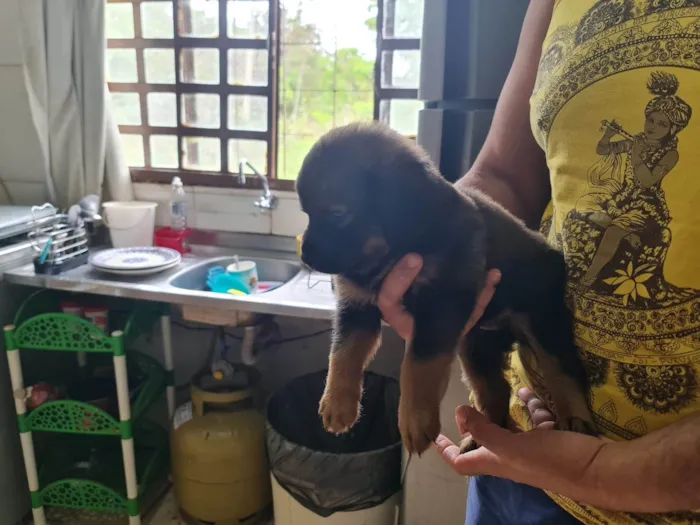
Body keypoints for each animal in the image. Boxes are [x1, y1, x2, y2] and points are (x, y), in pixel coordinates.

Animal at [296, 122, 596, 454]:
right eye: (308, 213)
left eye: (338, 212)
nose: (305, 256)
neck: (392, 250)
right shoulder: (356, 305)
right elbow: (343, 353)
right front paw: (337, 405)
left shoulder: (441, 302)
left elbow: (418, 364)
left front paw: (414, 421)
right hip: (475, 345)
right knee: (497, 390)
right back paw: (477, 440)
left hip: (541, 317)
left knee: (562, 368)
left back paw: (575, 421)